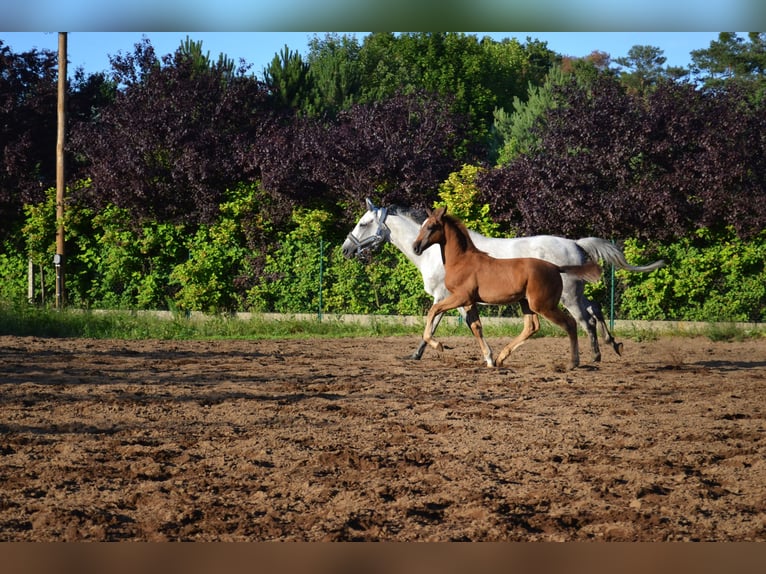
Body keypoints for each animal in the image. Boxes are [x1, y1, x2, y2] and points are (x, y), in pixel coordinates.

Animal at [344, 199, 664, 360]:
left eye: (363, 223)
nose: (346, 249)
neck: (439, 255)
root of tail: (576, 243)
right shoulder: (455, 299)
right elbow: (458, 325)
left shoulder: (446, 297)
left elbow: (440, 323)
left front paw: (425, 352)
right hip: (571, 294)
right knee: (595, 308)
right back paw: (613, 345)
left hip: (566, 297)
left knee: (583, 320)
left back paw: (594, 355)